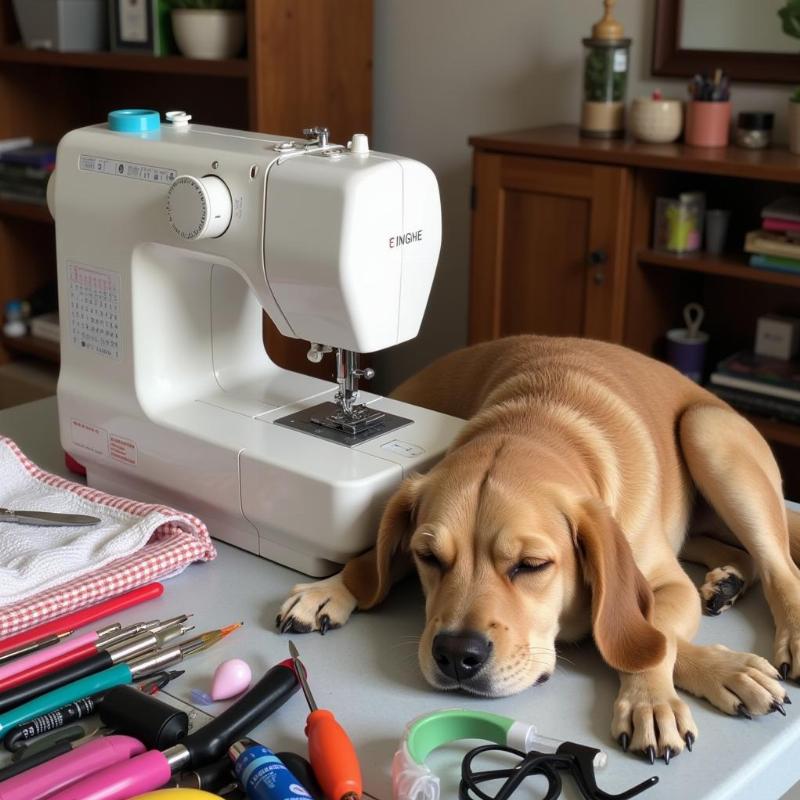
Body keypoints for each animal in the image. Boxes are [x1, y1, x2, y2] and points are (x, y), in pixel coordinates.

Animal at [276, 336, 800, 764]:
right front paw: (332, 587)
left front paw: (657, 696)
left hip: (706, 434)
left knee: (780, 568)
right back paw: (728, 579)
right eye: (430, 559)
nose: (455, 655)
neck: (537, 420)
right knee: (736, 553)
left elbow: (650, 637)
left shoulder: (669, 585)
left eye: (532, 565)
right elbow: (375, 560)